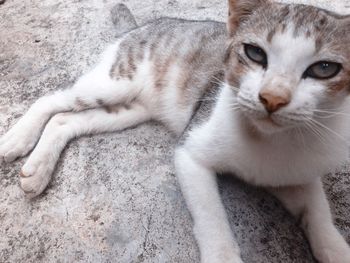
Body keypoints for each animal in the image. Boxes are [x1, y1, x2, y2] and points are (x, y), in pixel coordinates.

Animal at [0, 0, 350, 263]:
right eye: (255, 53)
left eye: (324, 69)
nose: (273, 99)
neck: (270, 138)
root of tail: (138, 27)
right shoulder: (191, 151)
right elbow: (211, 217)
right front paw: (222, 255)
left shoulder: (297, 172)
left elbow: (318, 210)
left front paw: (335, 247)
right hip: (113, 82)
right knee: (51, 99)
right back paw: (17, 139)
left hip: (129, 109)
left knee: (65, 120)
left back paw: (38, 169)